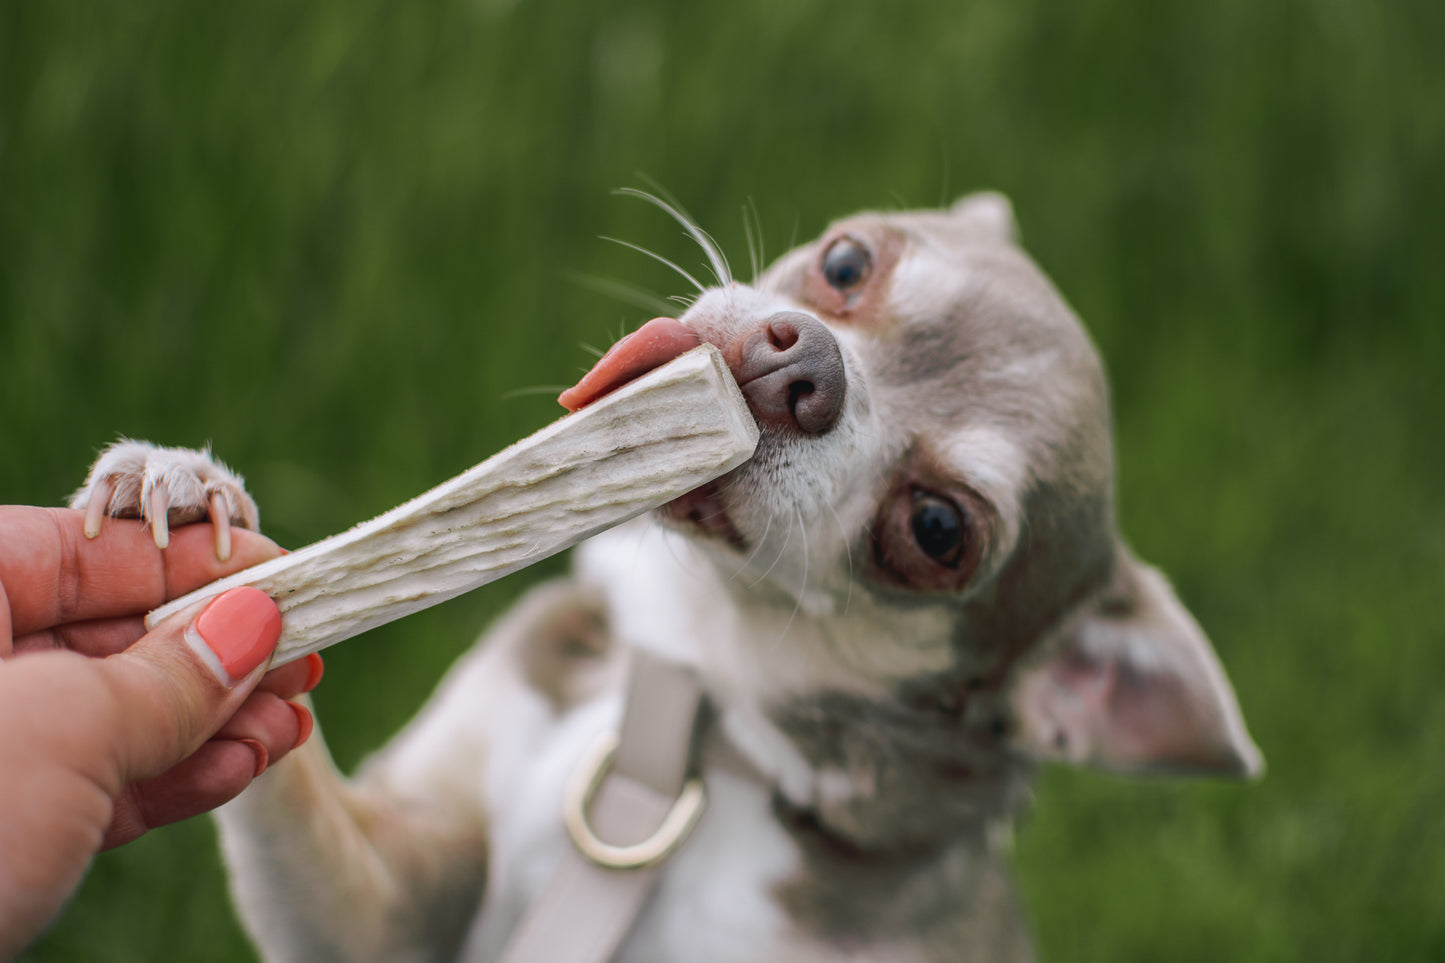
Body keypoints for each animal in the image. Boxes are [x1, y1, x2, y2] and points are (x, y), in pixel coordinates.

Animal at [73, 190, 1260, 954]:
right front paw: (187, 490)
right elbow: (297, 800)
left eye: (934, 530)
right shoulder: (389, 896)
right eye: (845, 262)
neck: (681, 709)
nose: (805, 365)